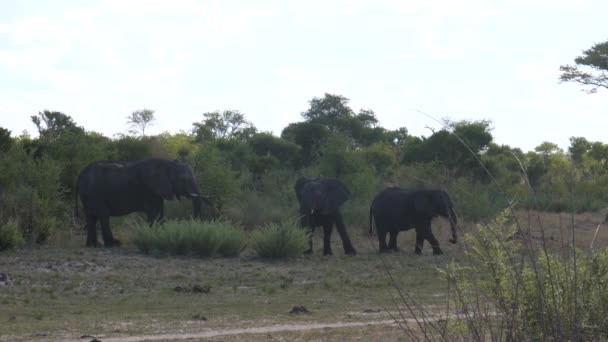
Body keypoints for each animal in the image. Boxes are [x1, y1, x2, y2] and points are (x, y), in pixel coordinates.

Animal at [75, 156, 214, 247]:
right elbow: (154, 212)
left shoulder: (157, 190)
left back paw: (93, 245)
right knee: (103, 215)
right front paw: (155, 237)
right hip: (95, 193)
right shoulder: (150, 189)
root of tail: (80, 174)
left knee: (91, 217)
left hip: (88, 195)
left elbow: (160, 211)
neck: (169, 164)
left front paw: (161, 235)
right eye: (183, 180)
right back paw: (113, 244)